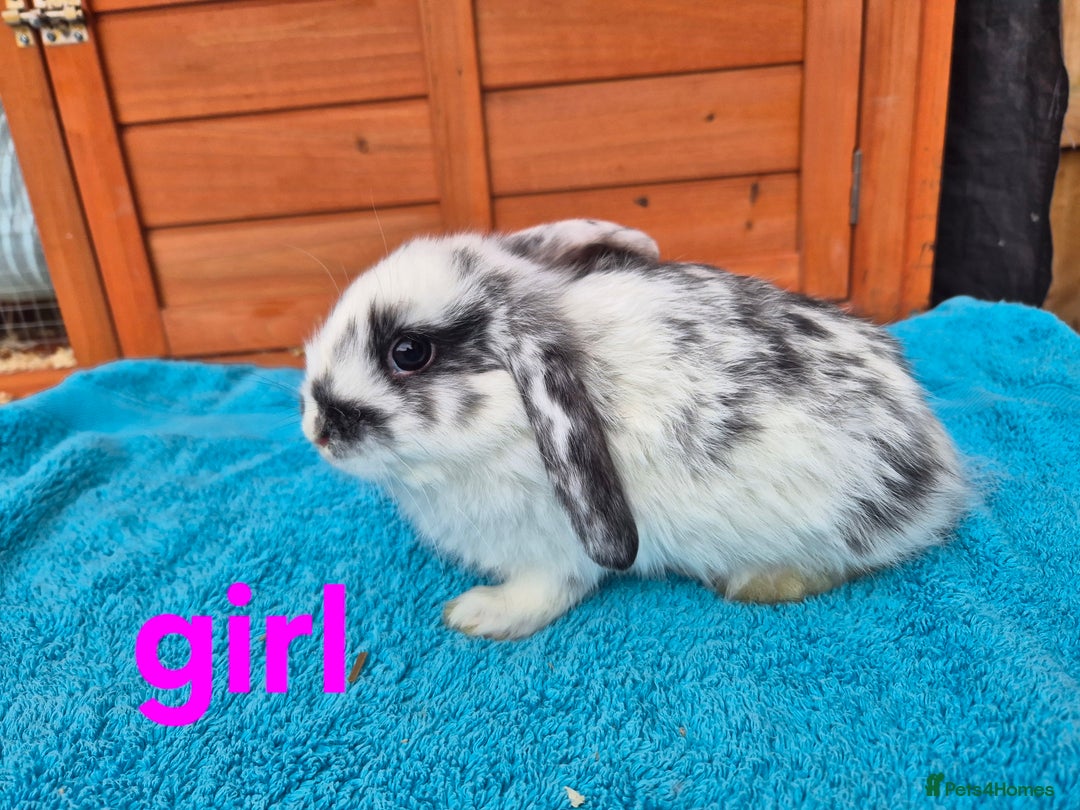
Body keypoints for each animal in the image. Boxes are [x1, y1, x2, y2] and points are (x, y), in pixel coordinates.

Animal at [300, 219, 969, 640]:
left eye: (409, 352)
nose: (317, 429)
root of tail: (936, 457)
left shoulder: (556, 553)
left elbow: (546, 591)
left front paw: (477, 616)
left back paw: (760, 582)